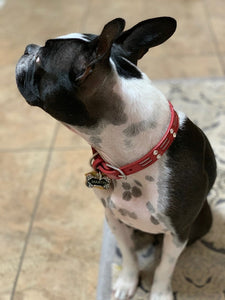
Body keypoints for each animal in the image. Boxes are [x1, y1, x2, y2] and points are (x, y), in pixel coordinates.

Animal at [15, 17, 216, 300]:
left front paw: (159, 293)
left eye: (40, 59)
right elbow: (129, 255)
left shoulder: (178, 232)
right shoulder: (114, 219)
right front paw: (126, 283)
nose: (28, 48)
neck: (136, 158)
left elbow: (165, 267)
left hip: (203, 220)